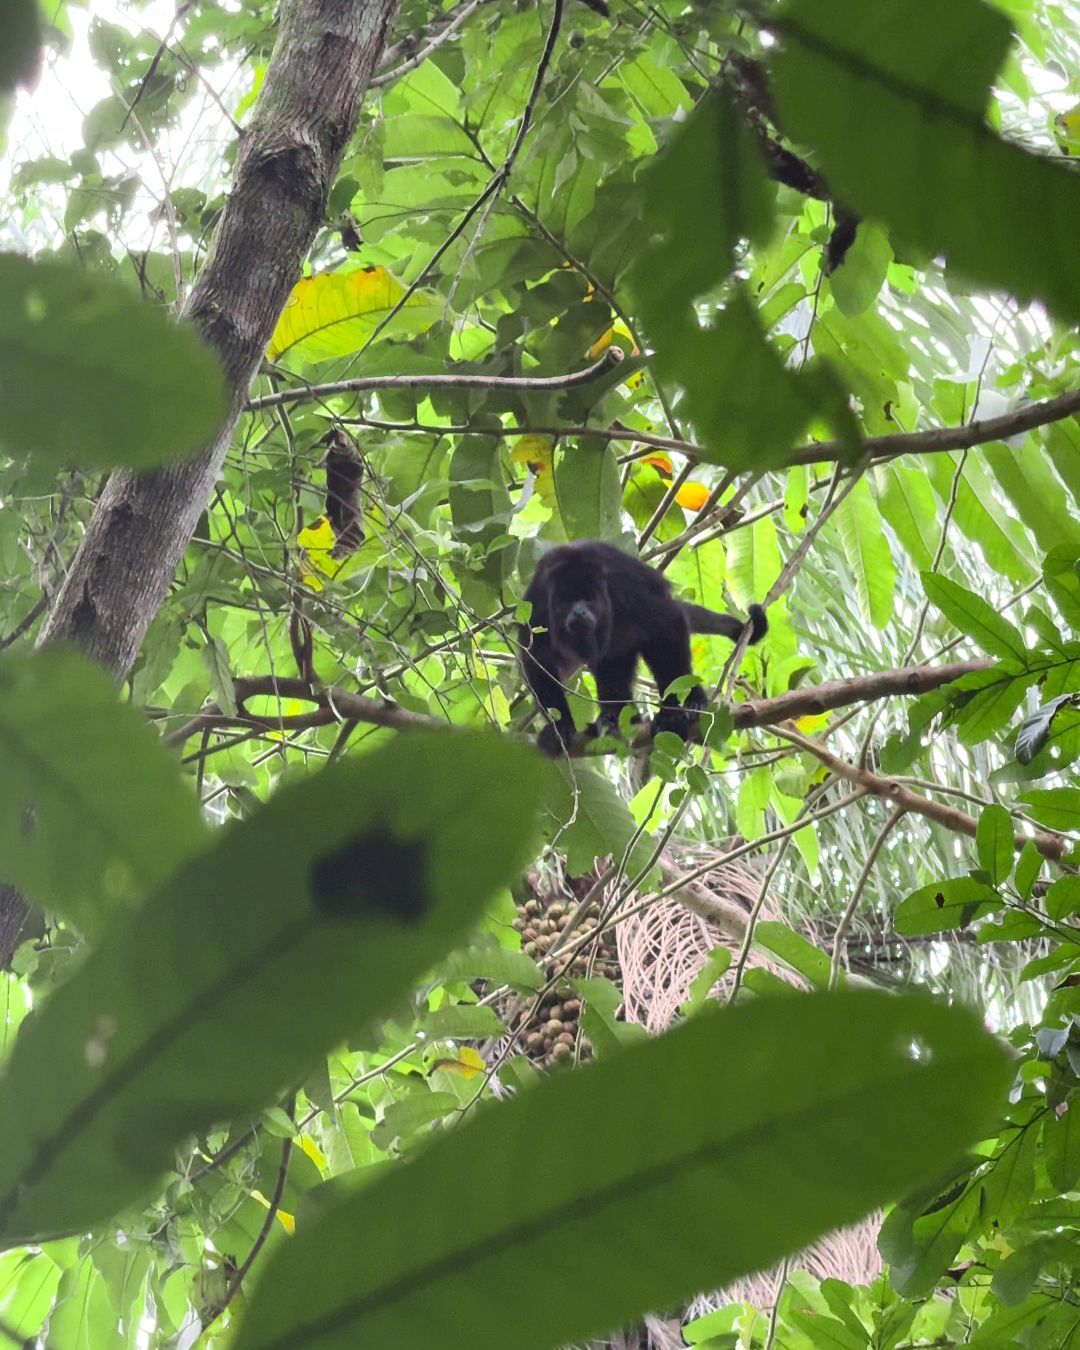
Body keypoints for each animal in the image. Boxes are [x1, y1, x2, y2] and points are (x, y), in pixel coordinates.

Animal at [515, 540, 761, 756]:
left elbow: (666, 622)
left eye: (589, 598)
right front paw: (560, 727)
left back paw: (692, 702)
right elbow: (538, 656)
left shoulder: (622, 585)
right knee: (611, 664)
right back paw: (614, 718)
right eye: (565, 602)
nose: (578, 612)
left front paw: (672, 715)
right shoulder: (538, 600)